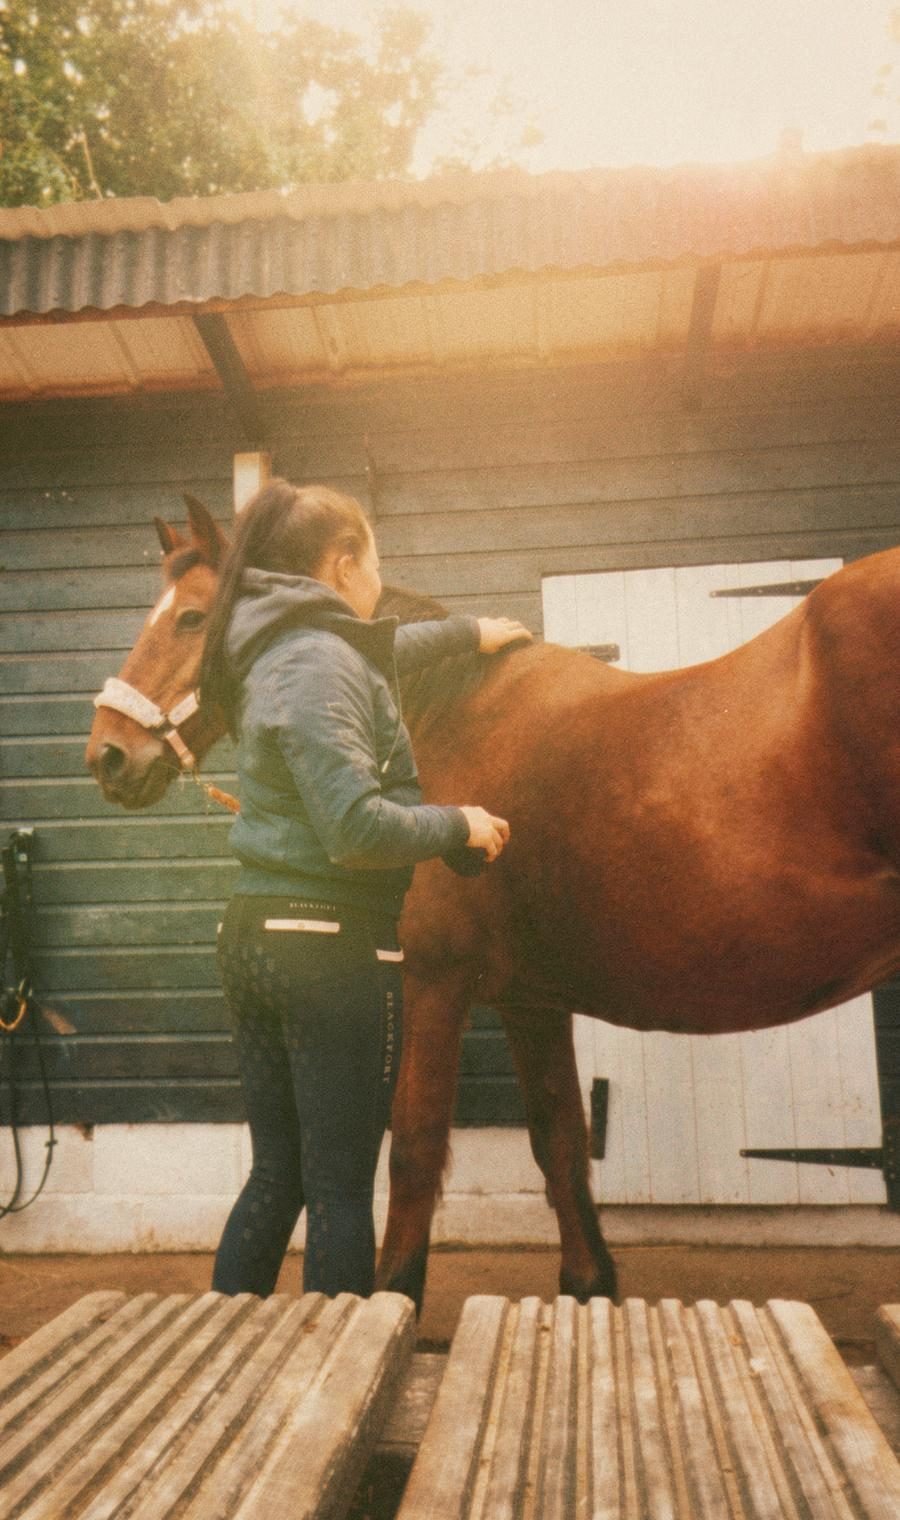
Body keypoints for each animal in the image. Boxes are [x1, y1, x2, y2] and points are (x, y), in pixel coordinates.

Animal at [86, 496, 900, 1308]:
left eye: (192, 617)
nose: (108, 755)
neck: (450, 713)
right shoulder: (529, 1001)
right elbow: (559, 1138)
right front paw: (587, 1287)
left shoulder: (430, 983)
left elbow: (415, 1151)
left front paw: (396, 1296)